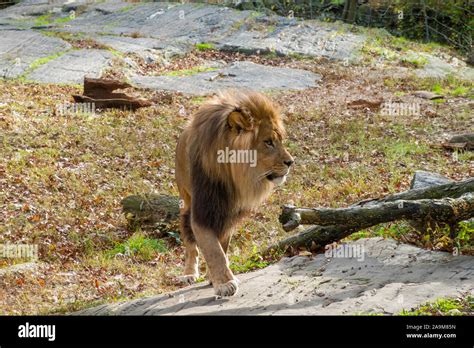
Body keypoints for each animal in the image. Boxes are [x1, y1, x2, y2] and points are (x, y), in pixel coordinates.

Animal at [175, 89, 292, 296]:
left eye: (279, 140)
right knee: (190, 244)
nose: (291, 162)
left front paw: (215, 277)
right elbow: (213, 249)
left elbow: (222, 246)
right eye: (268, 142)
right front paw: (225, 283)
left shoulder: (229, 213)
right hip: (185, 201)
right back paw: (189, 273)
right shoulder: (203, 210)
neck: (232, 177)